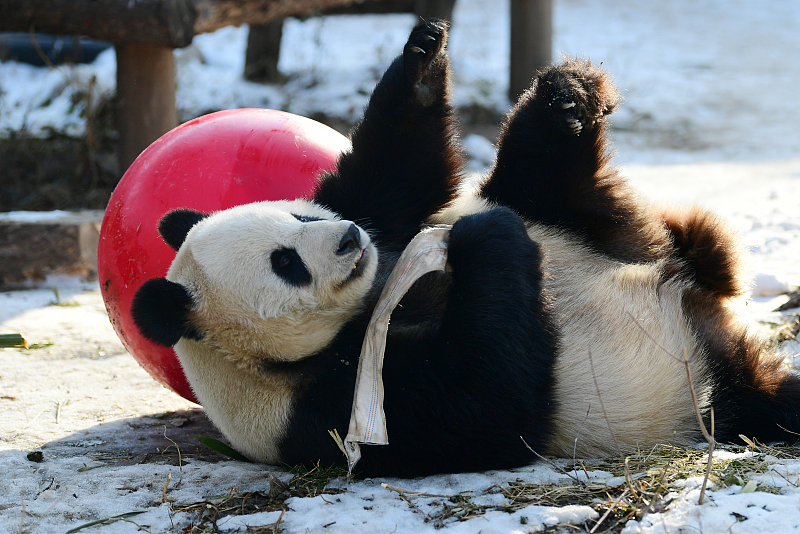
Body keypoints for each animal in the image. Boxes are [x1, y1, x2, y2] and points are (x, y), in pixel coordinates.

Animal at [131, 22, 800, 482]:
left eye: (303, 216)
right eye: (285, 264)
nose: (348, 240)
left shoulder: (383, 221)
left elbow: (400, 175)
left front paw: (422, 58)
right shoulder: (321, 408)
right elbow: (485, 398)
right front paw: (488, 239)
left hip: (593, 228)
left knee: (540, 174)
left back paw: (567, 98)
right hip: (690, 390)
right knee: (763, 402)